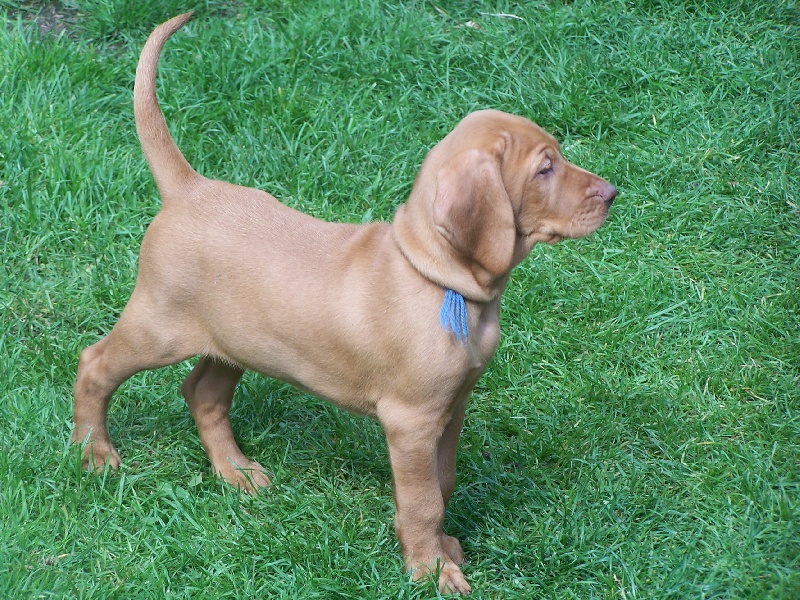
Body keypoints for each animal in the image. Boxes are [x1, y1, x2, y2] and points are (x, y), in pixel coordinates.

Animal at [72, 12, 615, 595]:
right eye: (545, 169)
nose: (611, 193)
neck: (435, 277)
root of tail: (188, 188)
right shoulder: (411, 420)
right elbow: (423, 499)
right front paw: (429, 570)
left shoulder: (452, 406)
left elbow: (443, 483)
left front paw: (440, 549)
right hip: (159, 326)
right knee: (95, 364)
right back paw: (94, 453)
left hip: (237, 342)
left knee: (202, 393)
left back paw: (235, 471)